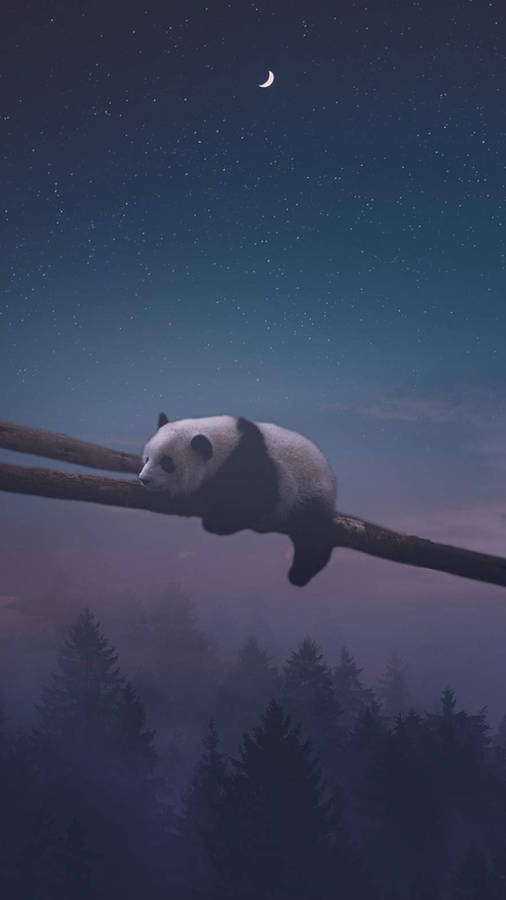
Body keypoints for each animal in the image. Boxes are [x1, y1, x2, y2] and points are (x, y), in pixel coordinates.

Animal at [138, 413, 337, 586]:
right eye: (147, 458)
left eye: (167, 463)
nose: (144, 479)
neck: (224, 444)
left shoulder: (253, 462)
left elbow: (257, 498)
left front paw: (217, 521)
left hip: (310, 492)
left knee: (312, 535)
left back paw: (300, 573)